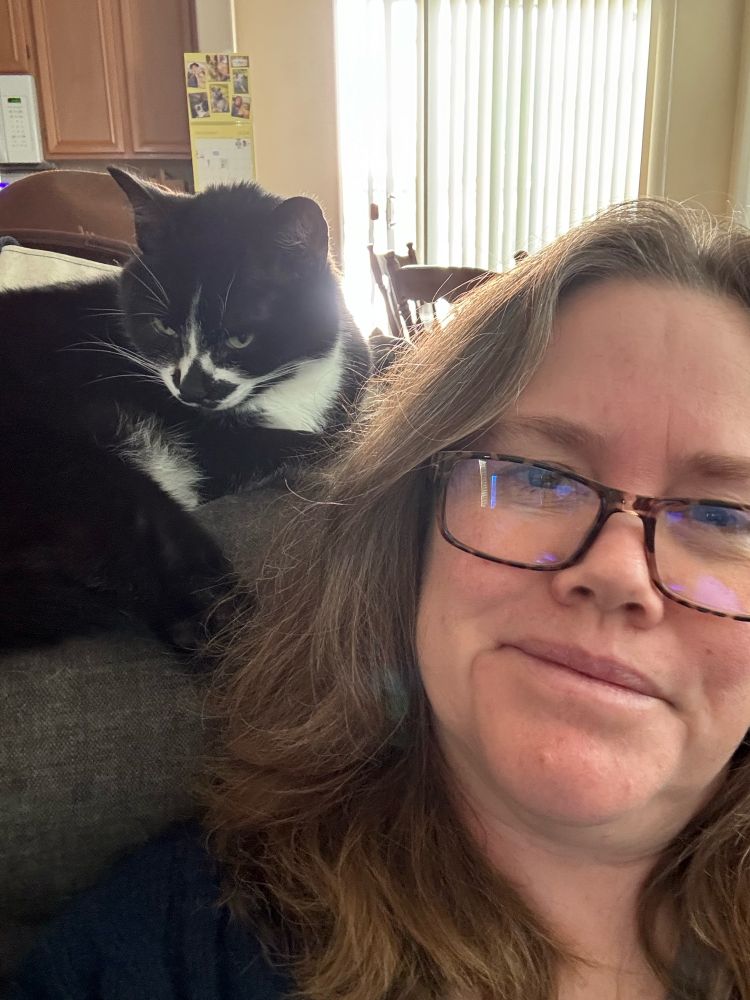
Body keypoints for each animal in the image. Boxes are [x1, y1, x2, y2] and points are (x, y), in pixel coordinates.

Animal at [0, 167, 371, 651]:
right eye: (163, 327)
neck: (283, 386)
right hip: (78, 474)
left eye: (240, 338)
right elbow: (319, 440)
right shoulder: (212, 447)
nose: (191, 388)